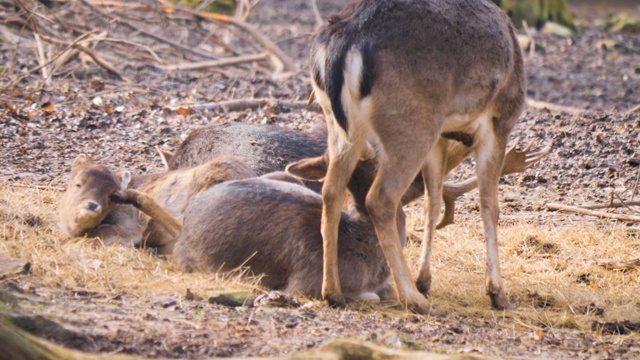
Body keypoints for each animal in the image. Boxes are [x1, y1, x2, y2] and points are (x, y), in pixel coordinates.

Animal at [308, 0, 524, 312]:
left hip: (340, 128)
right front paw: (498, 294)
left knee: (331, 191)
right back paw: (412, 298)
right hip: (411, 125)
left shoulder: (441, 138)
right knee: (380, 199)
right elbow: (489, 206)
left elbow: (432, 203)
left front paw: (425, 280)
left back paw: (333, 293)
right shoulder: (499, 120)